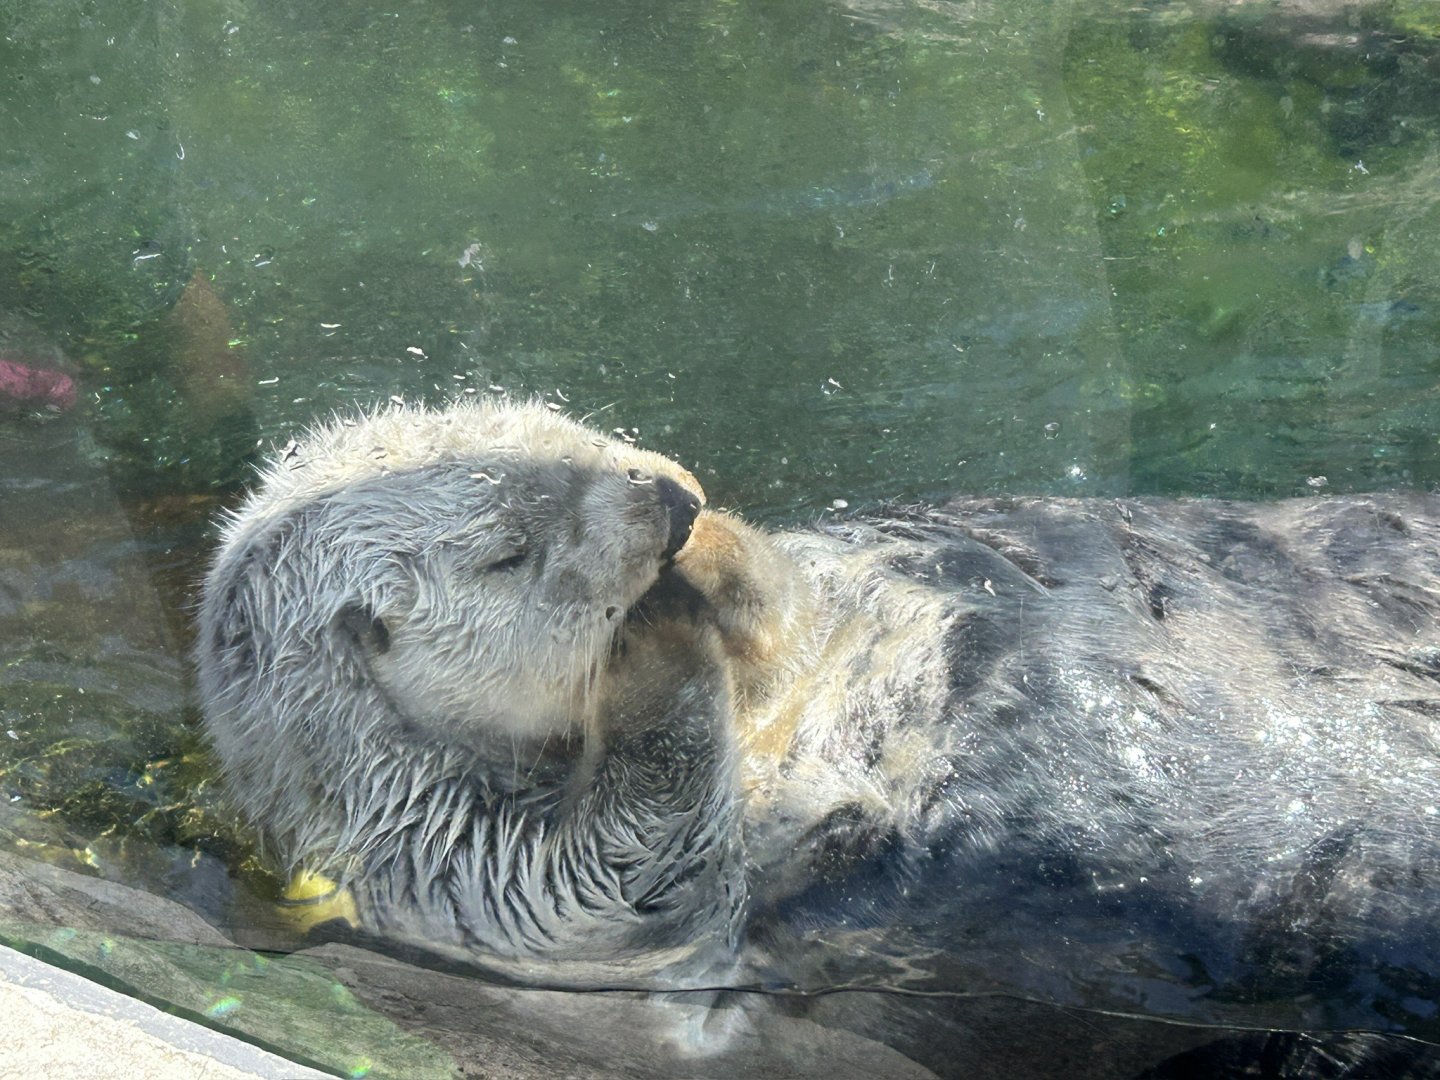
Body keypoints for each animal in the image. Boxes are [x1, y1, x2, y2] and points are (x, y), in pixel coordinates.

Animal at [196, 400, 1440, 1034]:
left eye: (564, 430)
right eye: (507, 553)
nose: (663, 497)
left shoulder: (821, 606)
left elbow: (789, 593)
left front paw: (709, 553)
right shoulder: (452, 872)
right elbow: (621, 874)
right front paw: (653, 634)